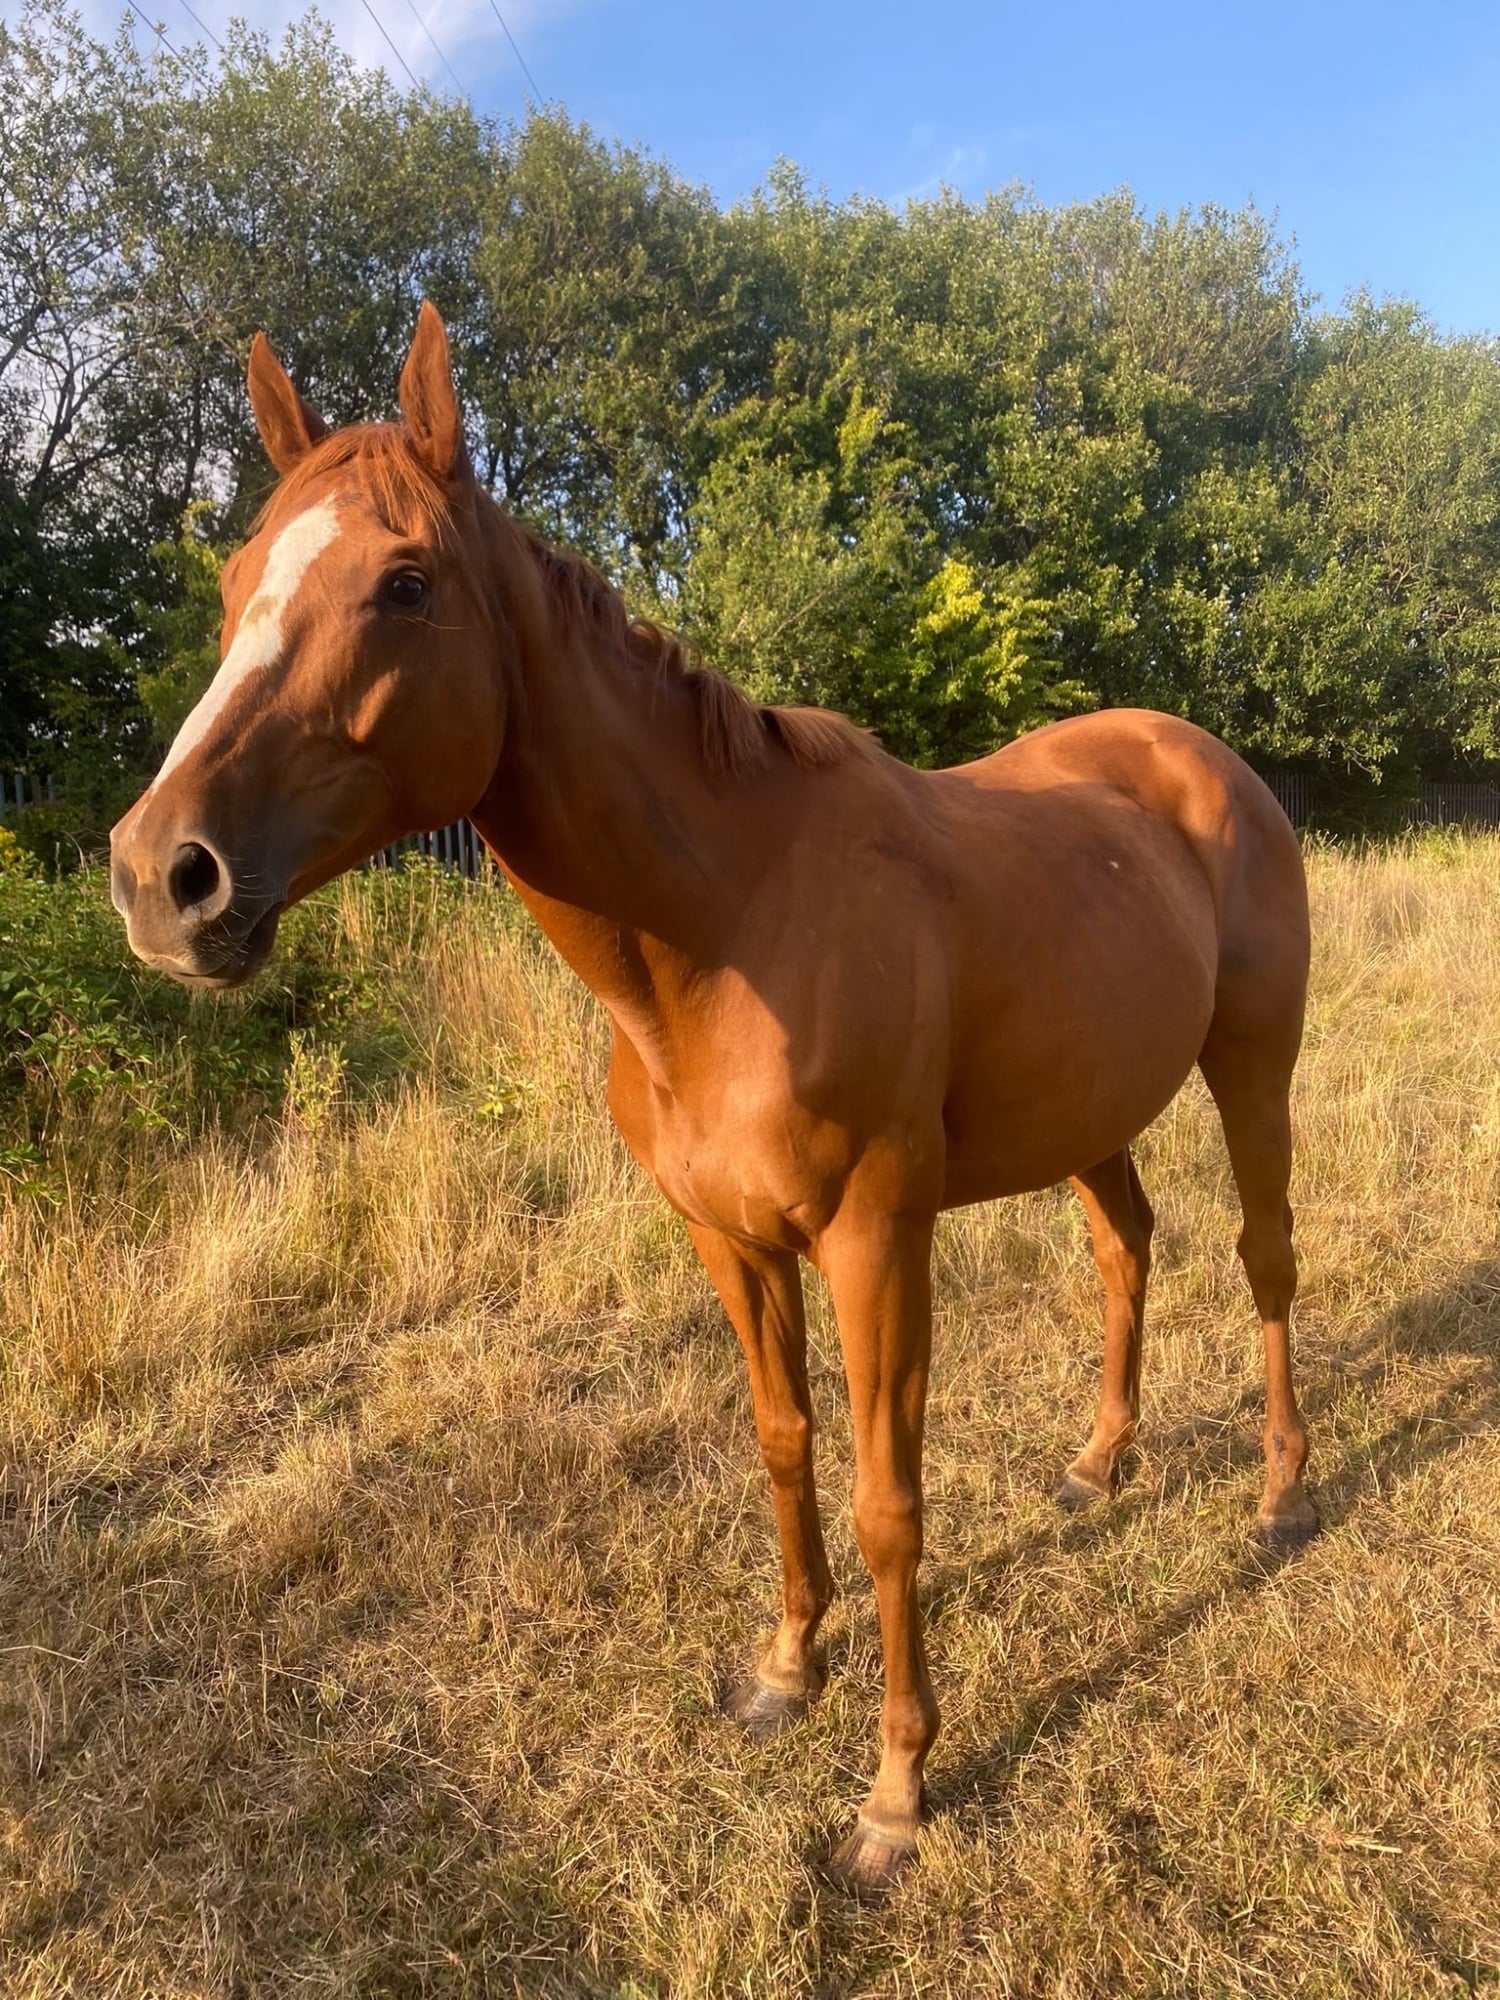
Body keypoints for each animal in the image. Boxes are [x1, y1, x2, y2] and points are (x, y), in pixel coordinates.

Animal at [110, 304, 1315, 1893]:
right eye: (236, 582)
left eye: (406, 584)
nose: (161, 877)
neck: (727, 926)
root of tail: (1199, 756)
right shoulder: (731, 1240)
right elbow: (784, 1442)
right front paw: (789, 1670)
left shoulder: (876, 1238)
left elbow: (886, 1497)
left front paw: (895, 1793)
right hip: (1090, 1113)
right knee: (1128, 1246)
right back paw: (1099, 1465)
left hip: (1253, 1070)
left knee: (1264, 1258)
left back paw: (1283, 1495)